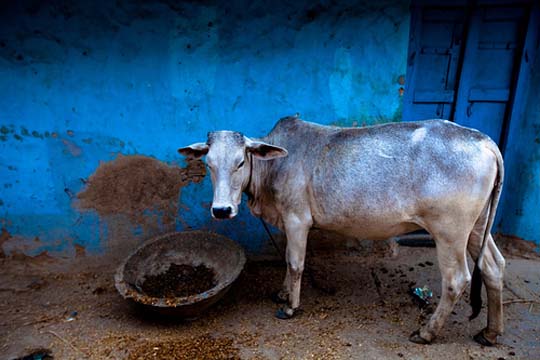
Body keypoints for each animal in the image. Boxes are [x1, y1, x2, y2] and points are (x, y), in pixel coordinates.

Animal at [179, 116, 504, 346]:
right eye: (209, 164)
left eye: (240, 162)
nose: (222, 210)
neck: (274, 167)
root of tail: (485, 141)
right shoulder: (287, 222)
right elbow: (286, 260)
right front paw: (283, 293)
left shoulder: (297, 219)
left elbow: (295, 263)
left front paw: (291, 307)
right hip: (477, 228)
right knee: (493, 267)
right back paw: (490, 332)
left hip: (450, 232)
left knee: (456, 280)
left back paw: (427, 332)